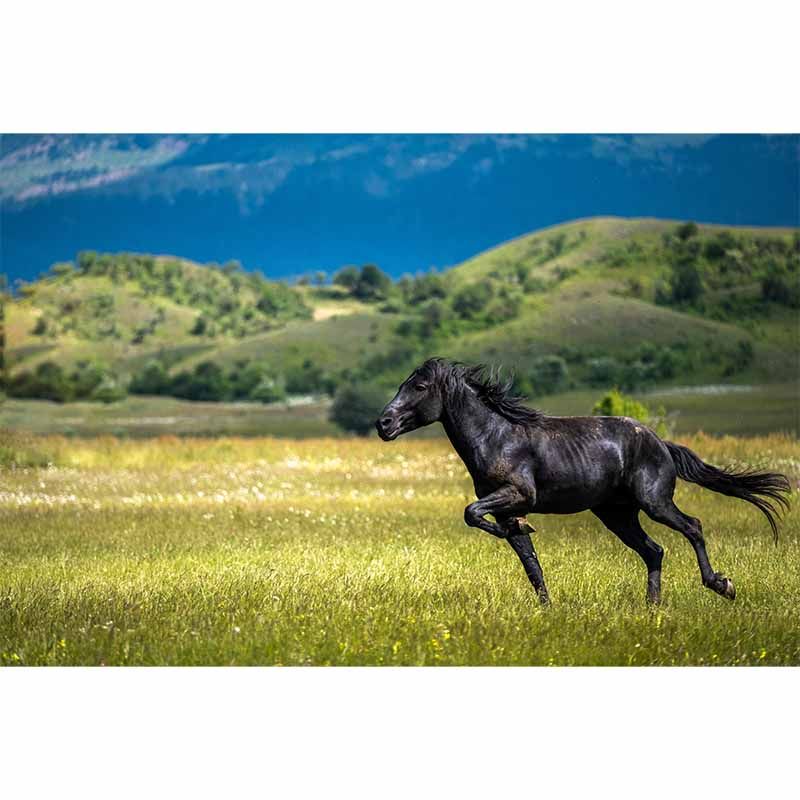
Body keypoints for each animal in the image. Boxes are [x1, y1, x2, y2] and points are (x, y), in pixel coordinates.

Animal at [375, 358, 791, 605]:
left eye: (420, 387)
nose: (383, 424)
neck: (497, 437)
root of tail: (661, 443)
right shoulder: (507, 507)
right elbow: (528, 560)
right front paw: (545, 606)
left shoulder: (517, 495)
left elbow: (471, 512)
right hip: (617, 514)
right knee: (654, 550)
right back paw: (652, 608)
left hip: (655, 502)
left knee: (693, 527)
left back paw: (721, 585)